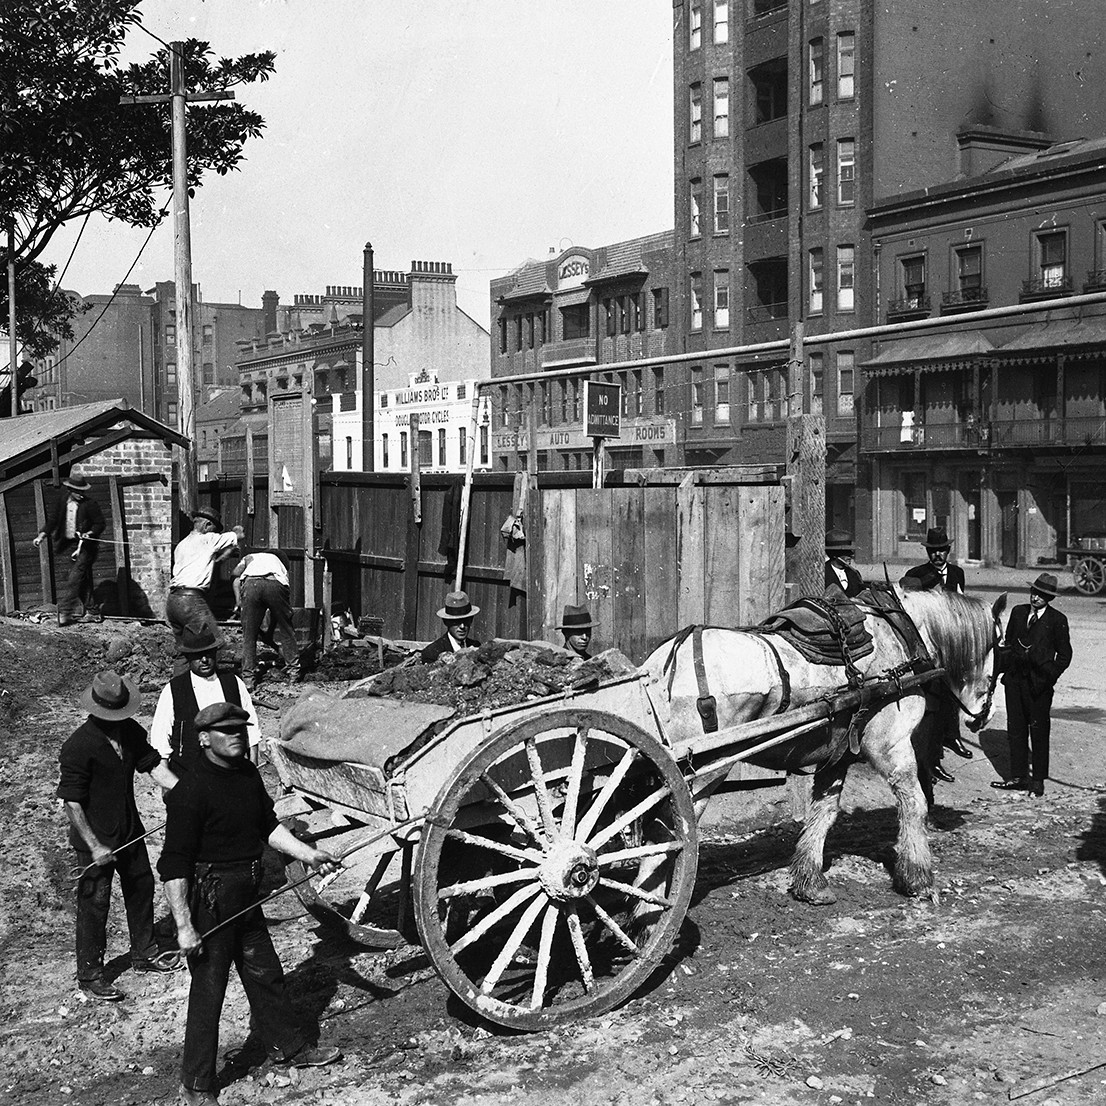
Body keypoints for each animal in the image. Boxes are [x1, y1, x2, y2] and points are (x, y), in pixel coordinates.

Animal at [641, 588, 1013, 906]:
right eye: (1001, 649)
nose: (985, 715)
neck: (898, 631)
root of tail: (659, 669)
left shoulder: (837, 755)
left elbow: (824, 812)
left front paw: (810, 882)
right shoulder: (891, 747)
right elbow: (915, 804)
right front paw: (918, 878)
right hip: (700, 773)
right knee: (666, 837)